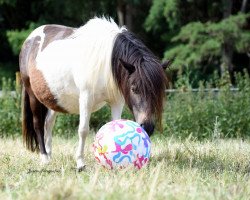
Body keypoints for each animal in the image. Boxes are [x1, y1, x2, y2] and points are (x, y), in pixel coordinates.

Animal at [19, 16, 168, 170]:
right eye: (134, 88)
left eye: (159, 92)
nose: (148, 127)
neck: (106, 62)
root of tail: (29, 40)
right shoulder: (86, 98)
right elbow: (83, 130)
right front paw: (80, 162)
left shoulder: (117, 102)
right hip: (32, 94)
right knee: (38, 124)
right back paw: (44, 158)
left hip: (54, 98)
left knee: (48, 122)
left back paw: (49, 154)